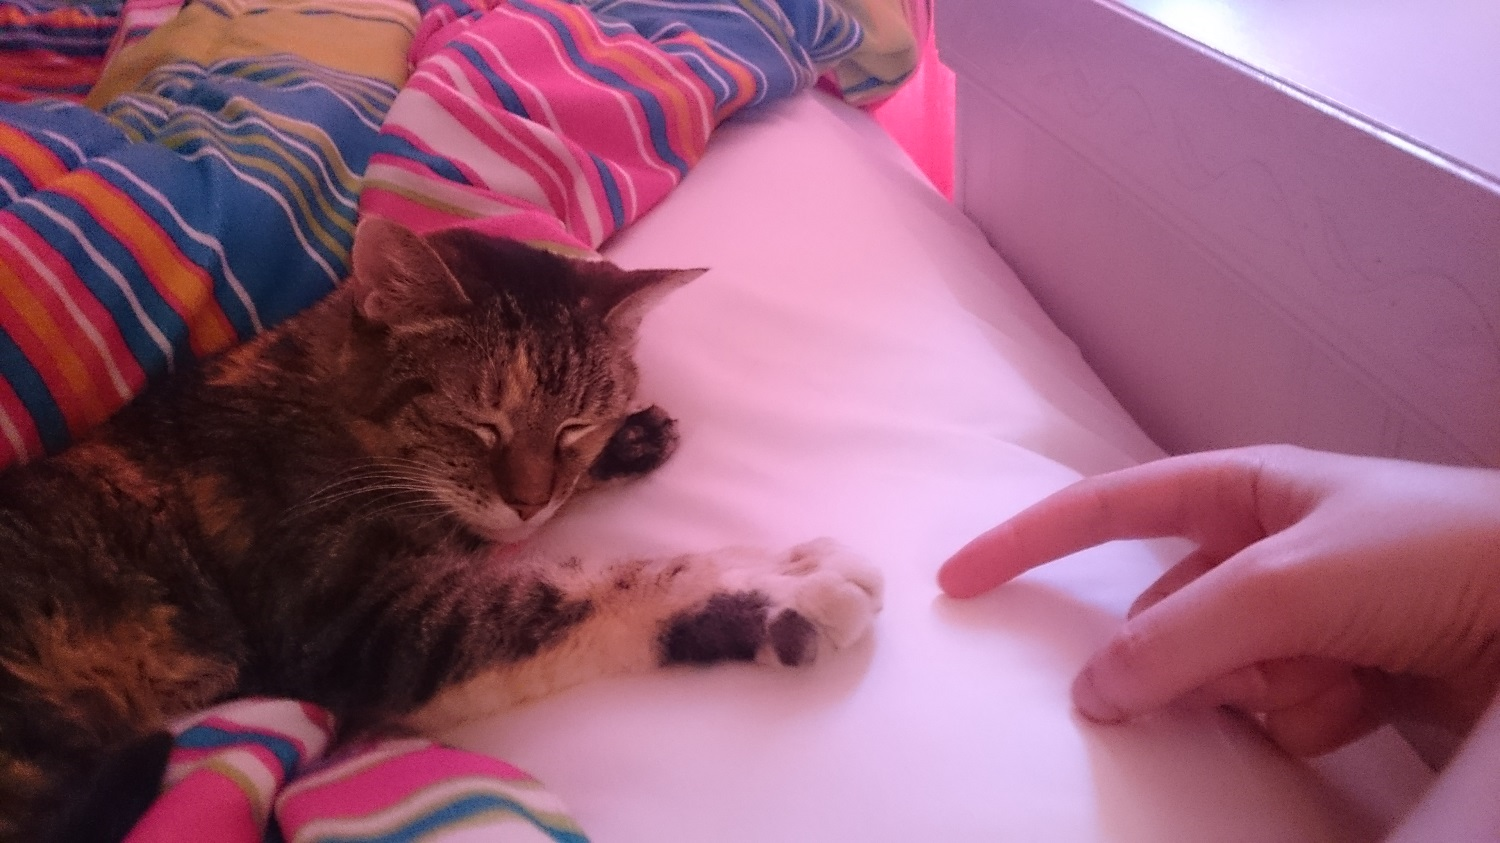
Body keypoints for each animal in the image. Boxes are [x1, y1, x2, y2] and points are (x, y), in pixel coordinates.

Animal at [0, 217, 882, 840]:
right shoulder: (361, 623)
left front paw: (628, 440)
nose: (530, 502)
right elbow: (581, 592)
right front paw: (780, 584)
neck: (331, 401)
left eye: (573, 424)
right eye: (478, 423)